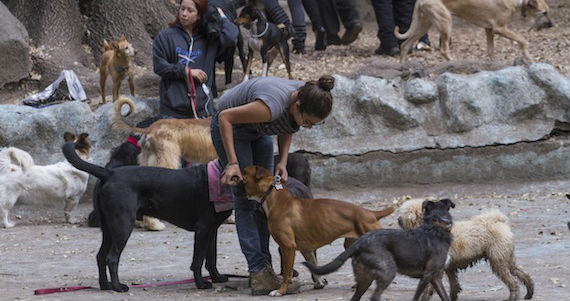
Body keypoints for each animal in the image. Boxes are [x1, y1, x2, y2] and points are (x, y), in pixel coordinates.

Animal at [235, 165, 394, 296]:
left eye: (244, 173)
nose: (233, 179)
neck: (273, 196)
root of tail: (371, 214)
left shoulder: (287, 247)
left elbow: (287, 273)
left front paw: (280, 291)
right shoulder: (306, 250)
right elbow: (315, 267)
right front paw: (319, 283)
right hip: (353, 245)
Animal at [304, 198, 454, 300]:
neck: (437, 225)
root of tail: (358, 244)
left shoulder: (435, 278)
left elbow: (445, 297)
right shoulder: (427, 276)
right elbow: (417, 297)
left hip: (365, 280)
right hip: (388, 272)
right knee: (374, 297)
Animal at [394, 0, 552, 61]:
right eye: (544, 13)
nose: (552, 25)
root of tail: (420, 1)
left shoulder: (489, 29)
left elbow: (491, 50)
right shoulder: (499, 28)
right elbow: (523, 40)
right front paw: (528, 56)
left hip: (423, 26)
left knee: (405, 45)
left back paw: (403, 66)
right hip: (446, 23)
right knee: (444, 50)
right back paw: (454, 62)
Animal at [398, 198, 532, 300]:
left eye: (405, 214)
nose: (398, 219)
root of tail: (498, 221)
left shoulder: (436, 269)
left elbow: (429, 288)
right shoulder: (448, 267)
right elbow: (453, 285)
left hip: (498, 260)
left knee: (513, 281)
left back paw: (513, 297)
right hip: (506, 258)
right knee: (522, 273)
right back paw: (529, 292)